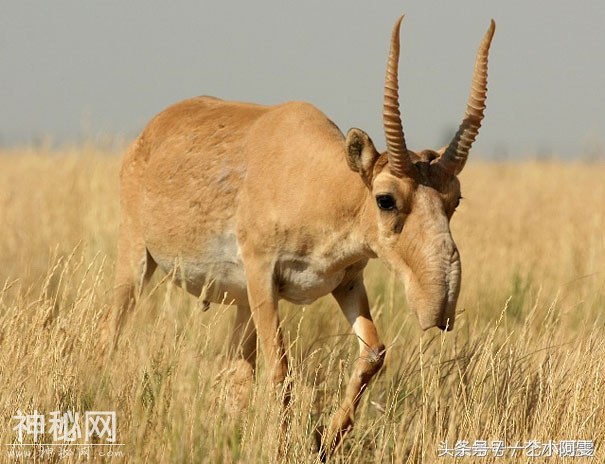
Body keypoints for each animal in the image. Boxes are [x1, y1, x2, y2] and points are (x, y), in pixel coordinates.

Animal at [105, 15, 495, 456]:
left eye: (454, 198)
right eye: (386, 199)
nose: (439, 306)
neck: (319, 182)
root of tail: (150, 132)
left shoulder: (346, 282)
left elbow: (373, 354)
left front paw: (324, 439)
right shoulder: (263, 277)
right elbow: (280, 369)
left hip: (241, 303)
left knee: (236, 375)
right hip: (137, 260)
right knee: (111, 329)